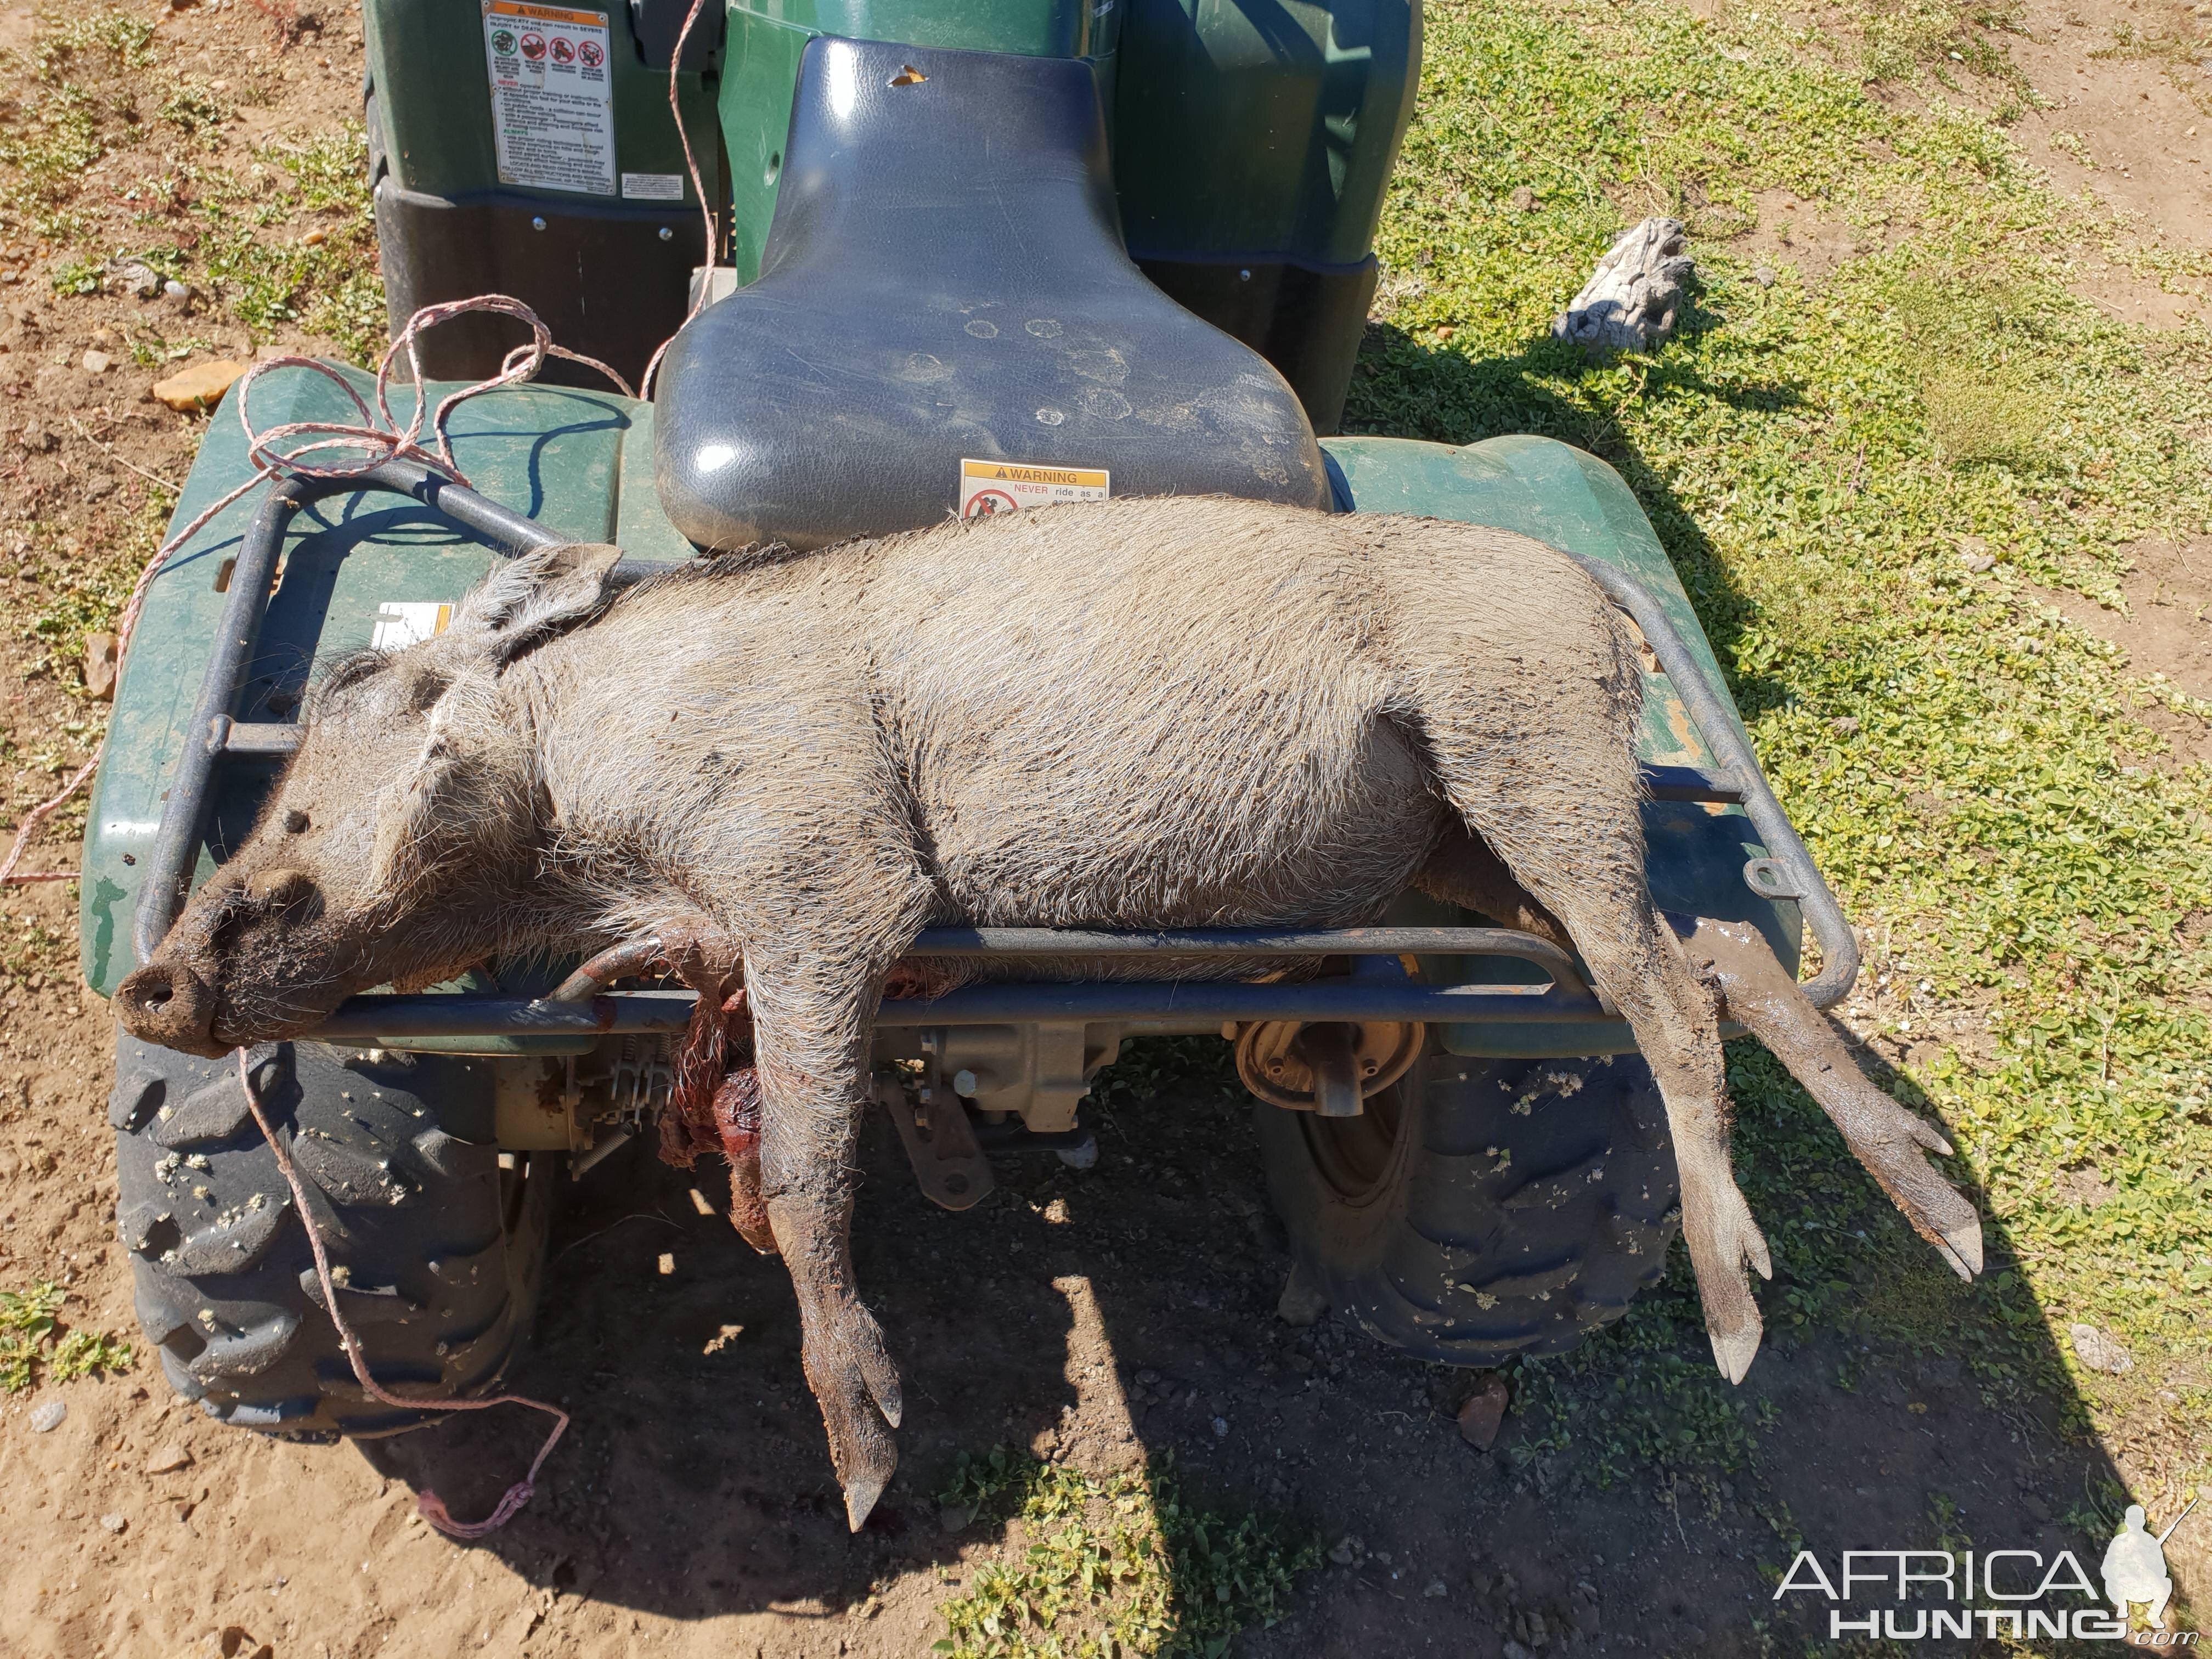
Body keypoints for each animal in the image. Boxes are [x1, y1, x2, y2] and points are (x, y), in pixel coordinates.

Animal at [112, 493, 1982, 1531]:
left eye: (346, 727)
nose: (156, 979)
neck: (595, 813)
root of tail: (1607, 606)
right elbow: (789, 1162)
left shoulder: (828, 888)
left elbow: (806, 1177)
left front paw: (868, 1471)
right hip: (1466, 854)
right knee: (1720, 953)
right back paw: (1949, 1220)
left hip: (1529, 754)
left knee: (1669, 999)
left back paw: (1744, 1314)